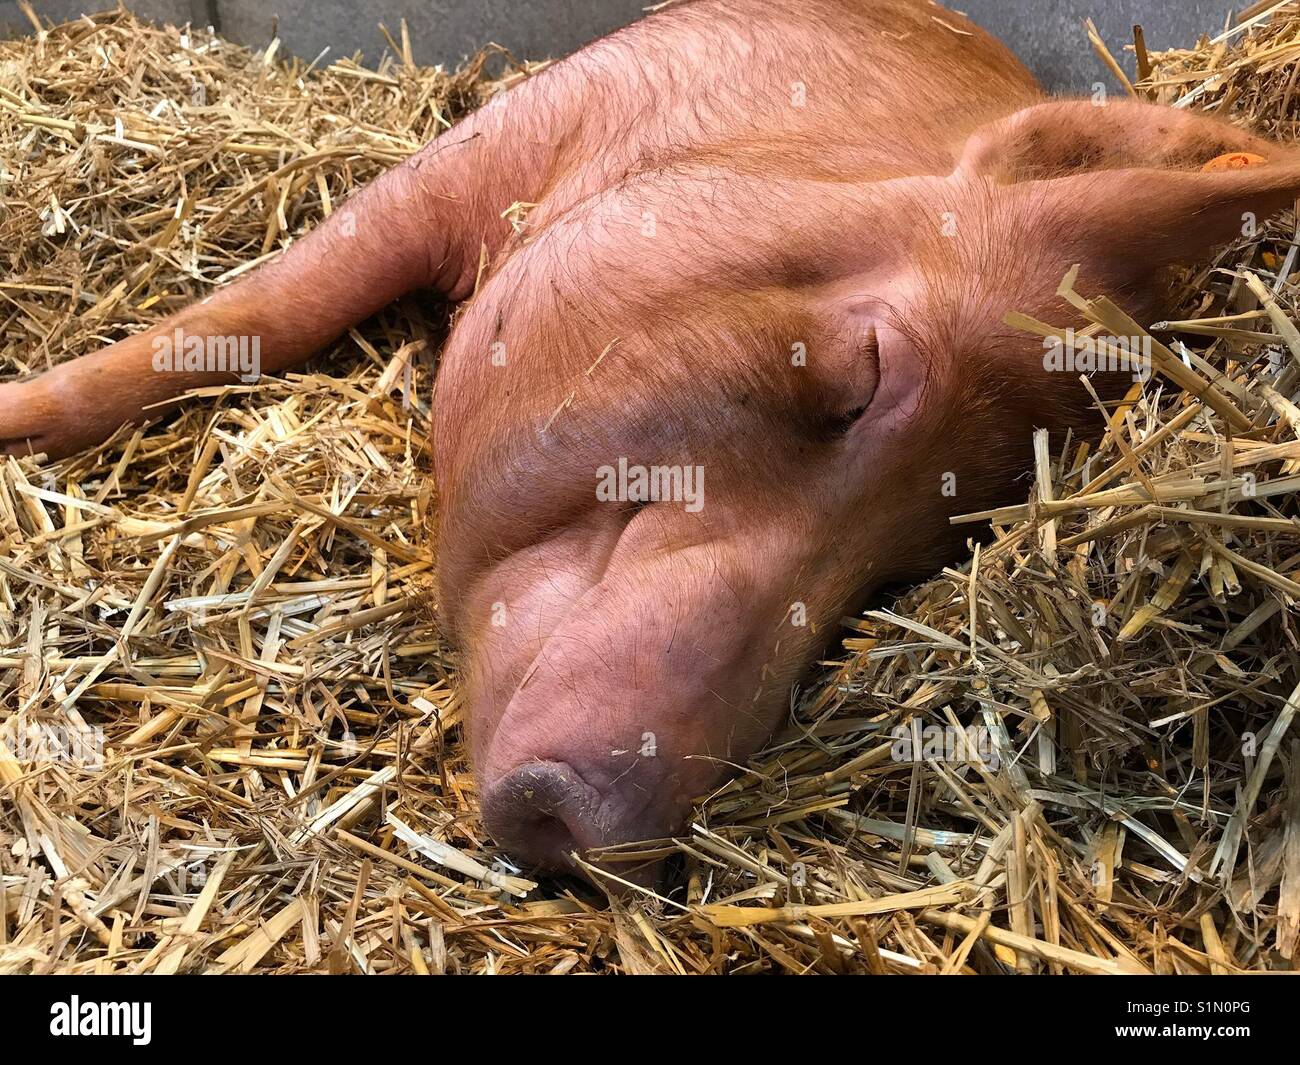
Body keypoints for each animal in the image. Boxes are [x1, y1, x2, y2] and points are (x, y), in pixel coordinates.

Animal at [2, 2, 1300, 884]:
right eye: (865, 377)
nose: (605, 831)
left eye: (928, 555)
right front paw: (22, 416)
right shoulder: (497, 141)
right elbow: (263, 308)